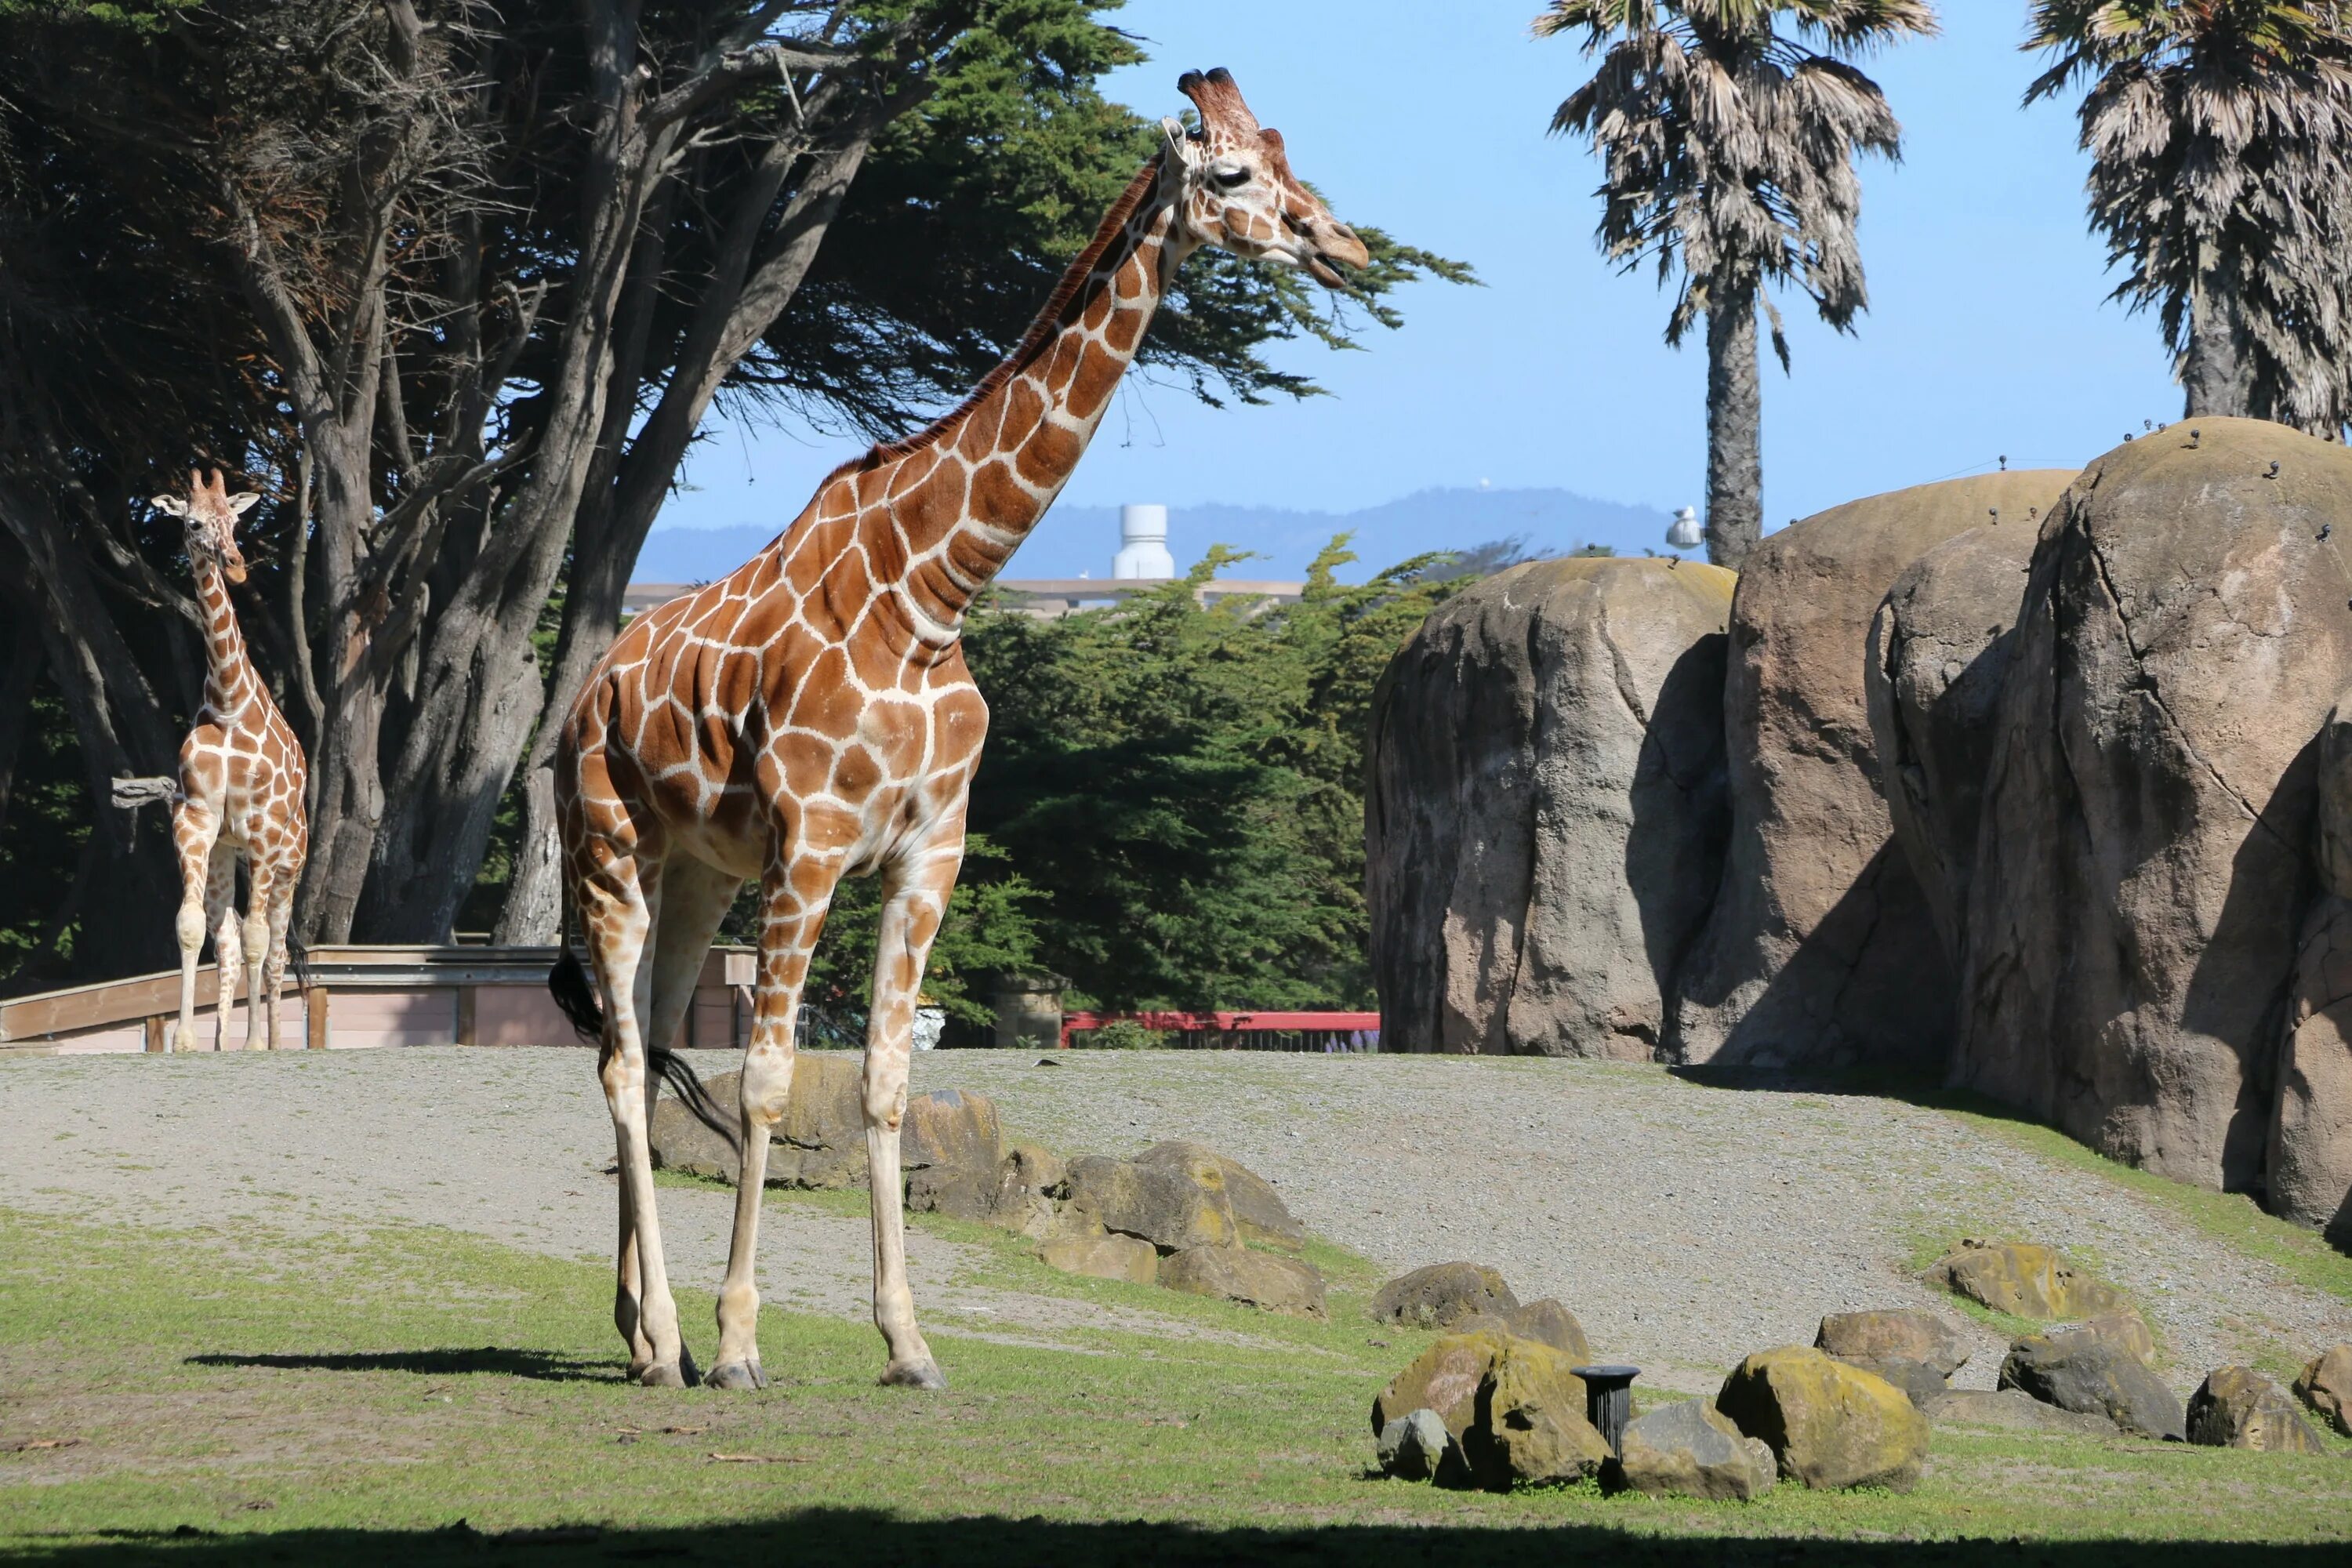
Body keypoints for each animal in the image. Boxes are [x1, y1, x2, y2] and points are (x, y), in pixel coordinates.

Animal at [151, 470, 313, 1053]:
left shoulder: (263, 830)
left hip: (290, 862)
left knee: (277, 947)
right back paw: (223, 1039)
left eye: (235, 521)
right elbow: (193, 926)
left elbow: (262, 941)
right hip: (228, 852)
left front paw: (254, 1043)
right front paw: (188, 1040)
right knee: (230, 933)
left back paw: (270, 1040)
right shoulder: (196, 820)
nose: (238, 563)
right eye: (195, 523)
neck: (226, 701)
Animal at [543, 67, 1374, 1392]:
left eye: (1293, 157)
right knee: (624, 1061)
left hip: (698, 872)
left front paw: (909, 1343)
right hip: (609, 850)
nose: (1342, 247)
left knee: (650, 1044)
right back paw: (673, 1339)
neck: (930, 594)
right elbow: (770, 1082)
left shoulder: (931, 850)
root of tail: (586, 693)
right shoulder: (813, 847)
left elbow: (884, 1081)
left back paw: (636, 1330)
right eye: (1234, 173)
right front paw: (741, 1344)